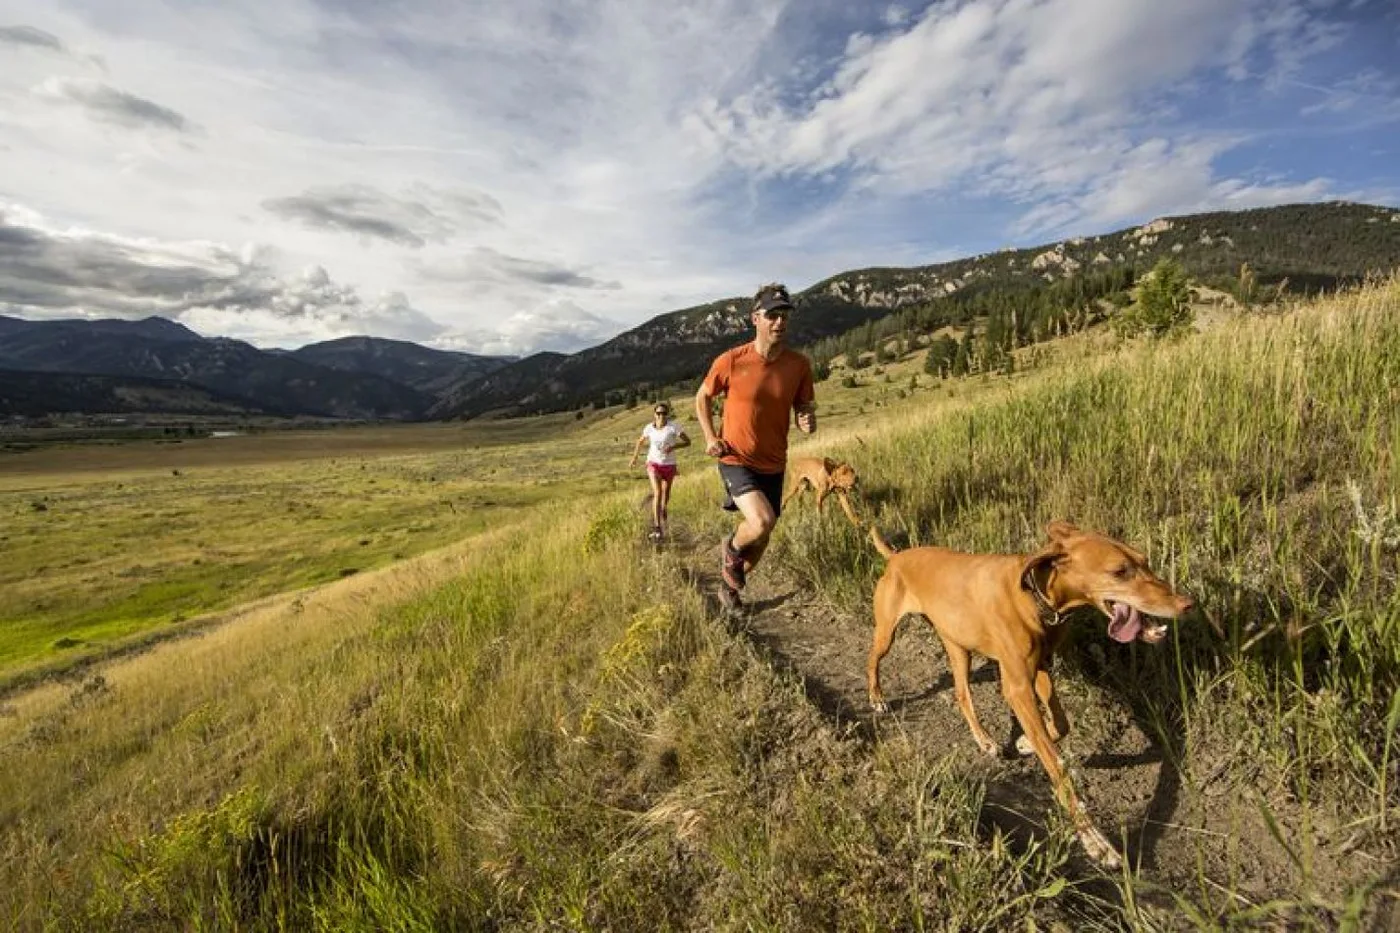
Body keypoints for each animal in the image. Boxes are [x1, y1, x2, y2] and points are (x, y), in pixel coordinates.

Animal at [862, 518, 1192, 862]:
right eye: (1120, 571)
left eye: (1144, 561)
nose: (1187, 604)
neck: (1035, 597)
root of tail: (897, 557)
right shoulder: (1018, 688)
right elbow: (1058, 767)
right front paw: (1094, 840)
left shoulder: (1042, 669)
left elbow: (1061, 724)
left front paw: (1023, 743)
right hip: (887, 633)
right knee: (872, 659)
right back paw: (876, 697)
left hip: (957, 646)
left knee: (962, 695)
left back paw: (985, 740)